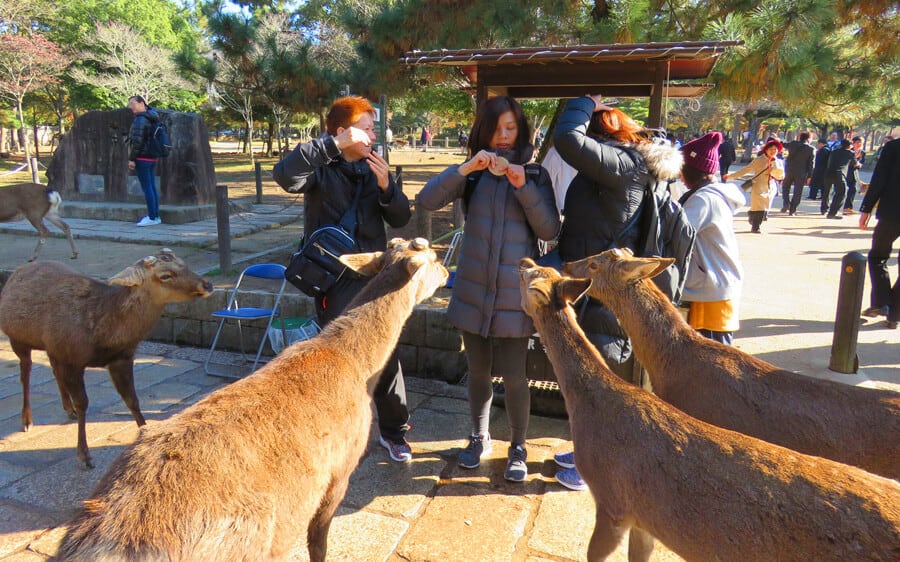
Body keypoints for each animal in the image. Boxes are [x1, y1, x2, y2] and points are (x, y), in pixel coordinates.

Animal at [0, 249, 213, 468]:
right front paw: (84, 455)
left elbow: (132, 399)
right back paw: (27, 420)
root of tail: (17, 273)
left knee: (53, 370)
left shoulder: (121, 358)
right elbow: (83, 403)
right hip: (17, 338)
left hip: (52, 348)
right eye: (165, 275)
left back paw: (68, 409)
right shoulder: (72, 359)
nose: (207, 284)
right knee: (25, 374)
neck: (106, 335)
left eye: (184, 263)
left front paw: (143, 433)